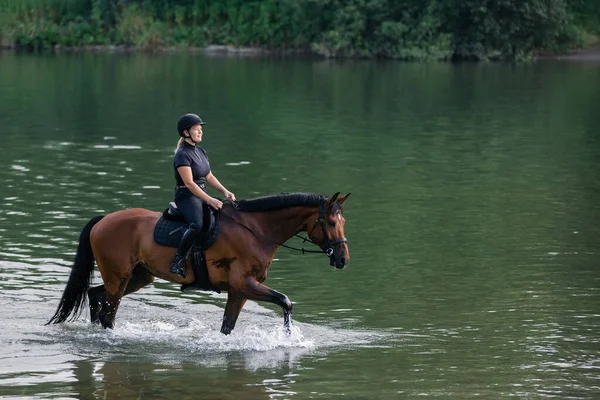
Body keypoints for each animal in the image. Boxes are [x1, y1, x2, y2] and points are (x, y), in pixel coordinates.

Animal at [48, 192, 352, 336]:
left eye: (343, 221)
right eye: (330, 222)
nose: (342, 259)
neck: (256, 230)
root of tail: (104, 219)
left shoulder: (238, 291)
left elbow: (228, 326)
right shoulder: (244, 283)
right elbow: (285, 301)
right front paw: (288, 338)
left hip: (136, 277)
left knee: (95, 295)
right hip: (119, 278)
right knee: (108, 313)